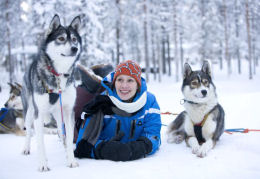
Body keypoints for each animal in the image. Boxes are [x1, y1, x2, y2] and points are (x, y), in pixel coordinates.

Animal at [22, 14, 82, 171]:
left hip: (58, 114)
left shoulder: (68, 111)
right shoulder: (38, 114)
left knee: (61, 131)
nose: (74, 48)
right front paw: (43, 164)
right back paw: (26, 148)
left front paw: (71, 160)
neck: (59, 74)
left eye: (74, 39)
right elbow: (40, 142)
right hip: (30, 111)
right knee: (29, 130)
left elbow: (69, 137)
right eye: (61, 38)